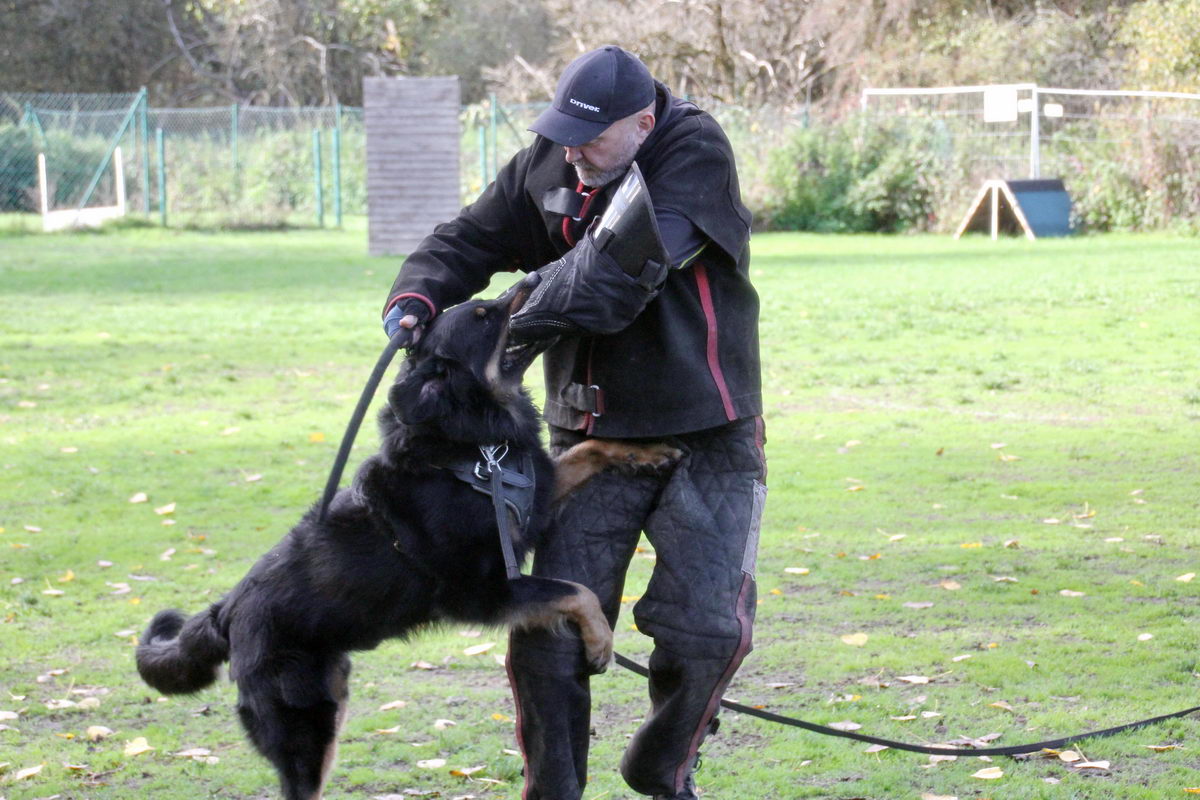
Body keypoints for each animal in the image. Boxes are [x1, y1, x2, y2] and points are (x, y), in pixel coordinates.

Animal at [136, 283, 681, 800]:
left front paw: (649, 451)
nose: (532, 278)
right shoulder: (483, 593)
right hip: (306, 726)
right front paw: (601, 642)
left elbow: (589, 450)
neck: (476, 448)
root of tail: (226, 610)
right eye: (484, 314)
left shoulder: (537, 495)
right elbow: (577, 592)